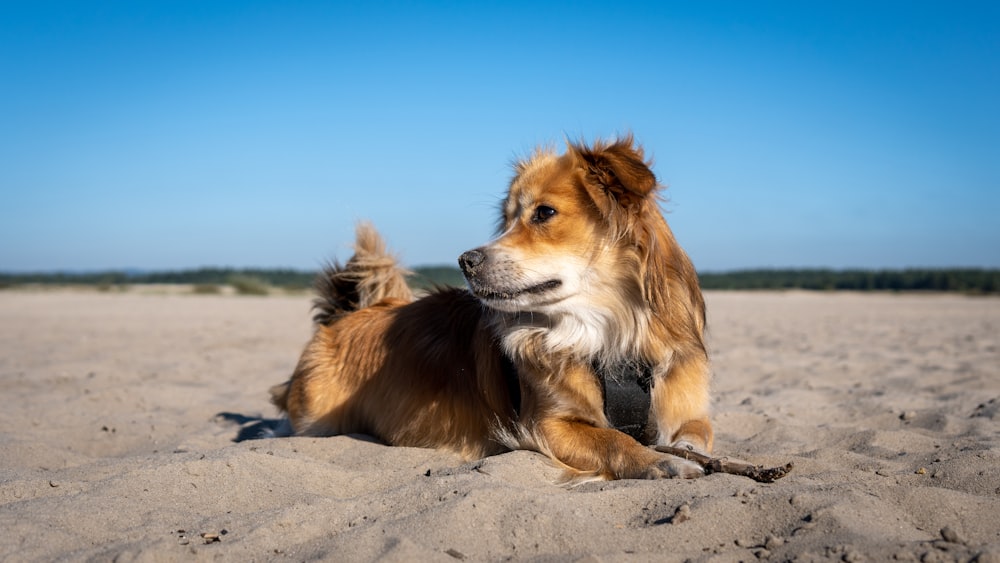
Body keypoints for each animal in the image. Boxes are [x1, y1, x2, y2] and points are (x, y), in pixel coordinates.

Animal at [270, 135, 716, 480]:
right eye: (507, 219)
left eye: (544, 212)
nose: (465, 260)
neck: (605, 333)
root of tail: (345, 317)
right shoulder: (546, 425)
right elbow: (613, 439)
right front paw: (658, 461)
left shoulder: (686, 401)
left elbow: (697, 434)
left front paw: (684, 451)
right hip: (316, 421)